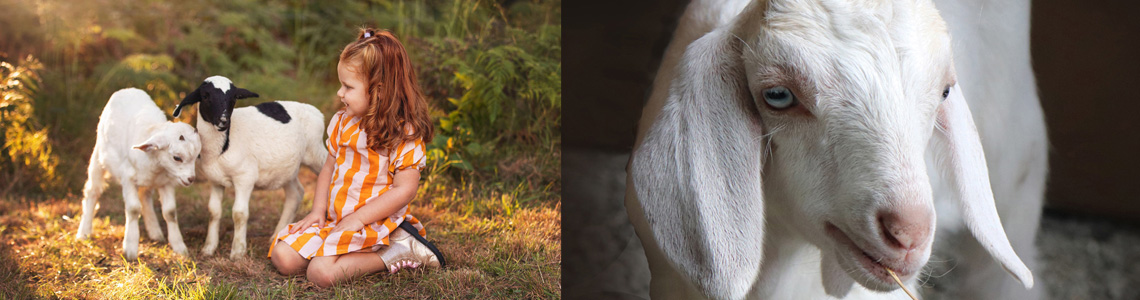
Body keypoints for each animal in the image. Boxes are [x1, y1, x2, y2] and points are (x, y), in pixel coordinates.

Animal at [171, 75, 328, 258]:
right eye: (205, 96)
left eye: (233, 98)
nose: (224, 121)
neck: (222, 146)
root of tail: (314, 110)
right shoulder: (215, 180)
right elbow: (213, 211)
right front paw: (208, 248)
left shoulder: (244, 177)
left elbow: (239, 213)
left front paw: (238, 252)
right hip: (287, 167)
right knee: (295, 193)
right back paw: (276, 235)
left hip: (316, 152)